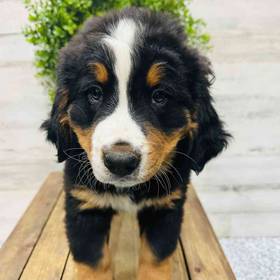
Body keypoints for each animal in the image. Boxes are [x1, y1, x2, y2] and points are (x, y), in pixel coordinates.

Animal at [41, 6, 230, 280]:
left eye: (159, 96)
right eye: (94, 93)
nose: (120, 162)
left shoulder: (165, 208)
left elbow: (155, 258)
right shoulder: (84, 205)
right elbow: (93, 262)